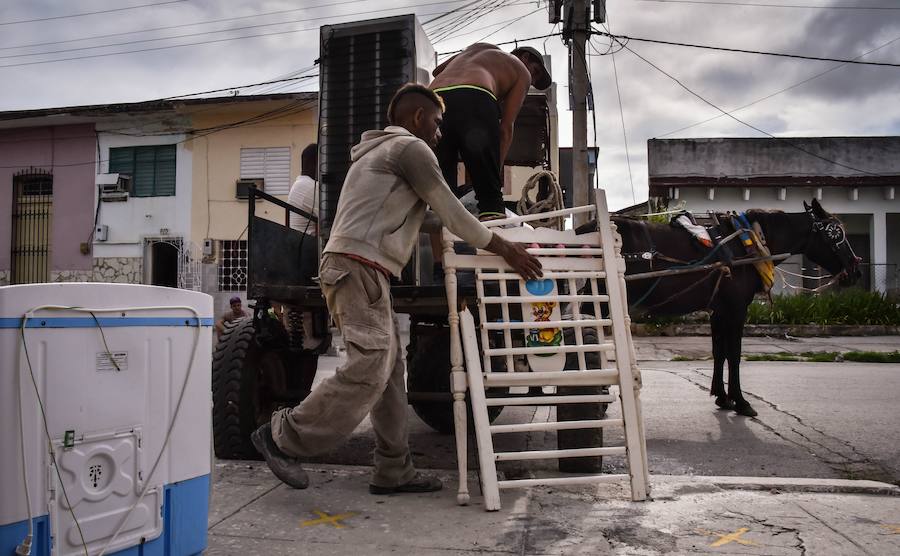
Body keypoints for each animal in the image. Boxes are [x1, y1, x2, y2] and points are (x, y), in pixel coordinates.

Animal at [580, 198, 860, 414]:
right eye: (836, 234)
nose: (855, 270)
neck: (749, 241)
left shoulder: (720, 310)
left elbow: (720, 352)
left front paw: (722, 397)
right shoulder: (737, 309)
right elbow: (734, 355)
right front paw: (741, 402)